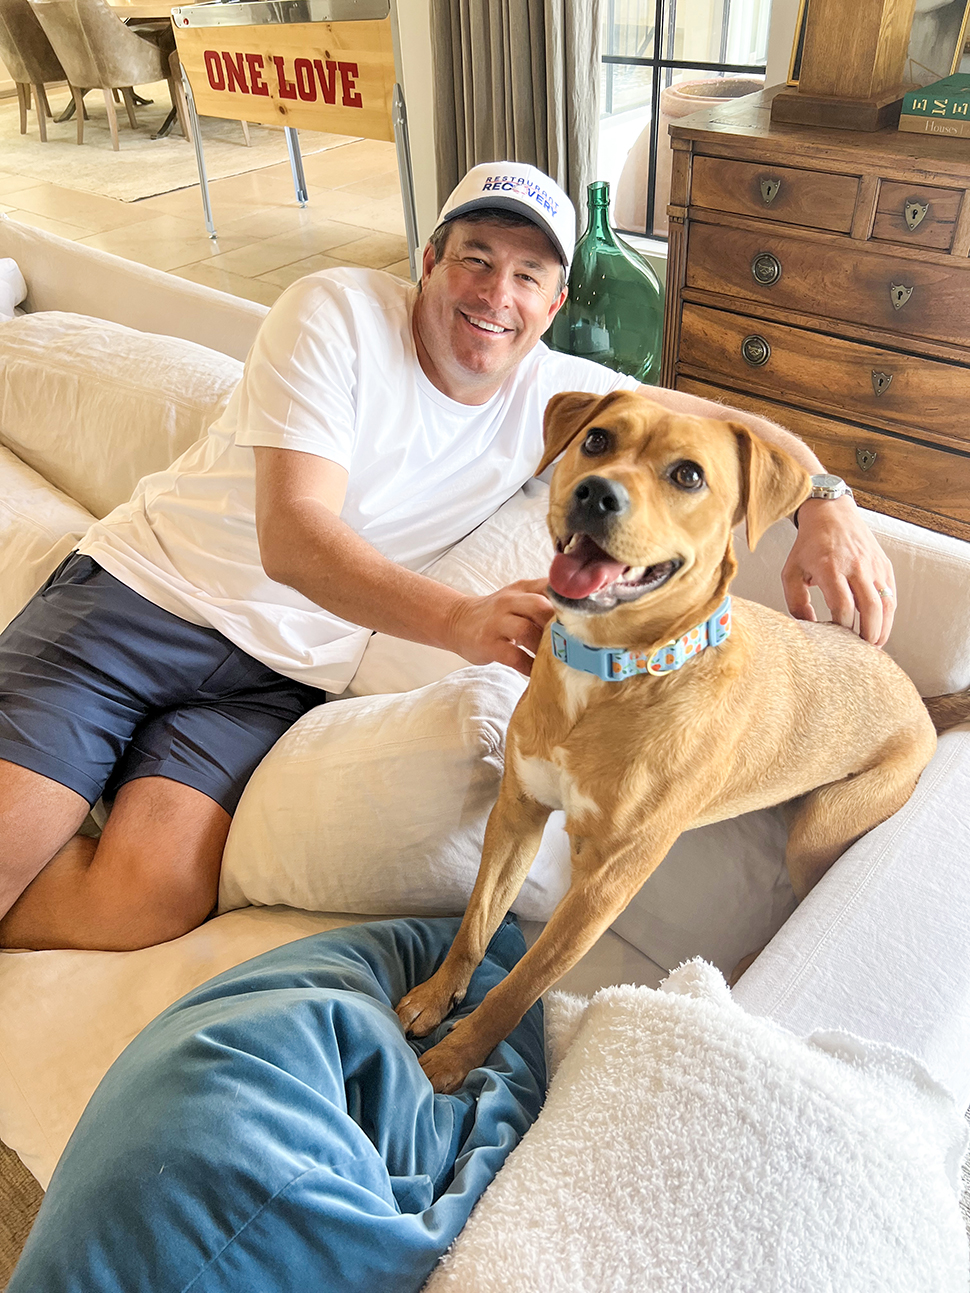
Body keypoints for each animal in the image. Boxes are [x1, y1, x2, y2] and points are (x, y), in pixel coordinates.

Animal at [396, 389, 968, 1093]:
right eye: (597, 440)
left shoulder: (603, 886)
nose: (596, 493)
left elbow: (521, 986)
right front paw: (436, 996)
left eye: (688, 476)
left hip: (822, 828)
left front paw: (455, 1059)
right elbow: (476, 921)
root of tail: (922, 701)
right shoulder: (517, 812)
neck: (614, 670)